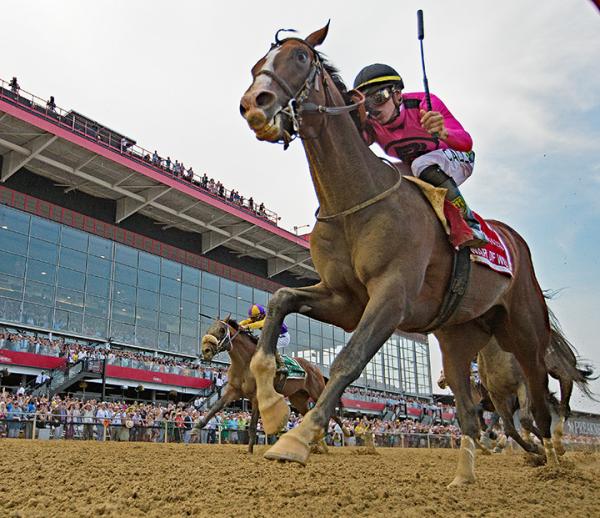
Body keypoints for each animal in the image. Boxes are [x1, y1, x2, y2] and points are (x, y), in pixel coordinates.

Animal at [198, 316, 346, 450]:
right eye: (208, 329)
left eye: (222, 330)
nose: (206, 350)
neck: (245, 363)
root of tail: (316, 368)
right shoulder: (234, 390)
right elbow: (216, 406)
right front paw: (198, 425)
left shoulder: (255, 396)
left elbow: (252, 426)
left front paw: (250, 451)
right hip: (298, 399)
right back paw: (320, 445)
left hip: (317, 392)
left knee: (331, 411)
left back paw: (345, 431)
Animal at [240, 24, 576, 488]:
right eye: (256, 66)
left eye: (301, 57)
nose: (254, 104)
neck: (354, 198)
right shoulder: (344, 299)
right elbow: (279, 300)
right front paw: (273, 407)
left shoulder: (392, 295)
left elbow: (348, 359)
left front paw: (298, 438)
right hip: (458, 337)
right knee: (470, 412)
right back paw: (465, 477)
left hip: (524, 331)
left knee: (541, 403)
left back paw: (554, 460)